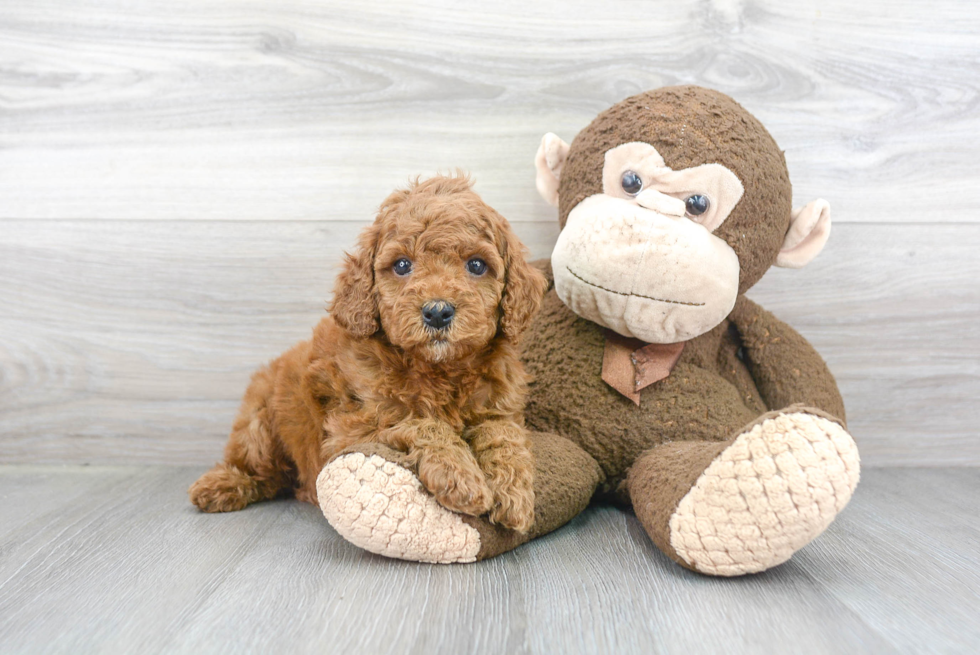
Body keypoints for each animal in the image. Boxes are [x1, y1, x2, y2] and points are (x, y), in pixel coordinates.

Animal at [188, 174, 548, 532]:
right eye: (402, 265)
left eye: (476, 265)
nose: (437, 312)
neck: (438, 370)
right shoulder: (353, 429)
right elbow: (421, 423)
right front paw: (460, 478)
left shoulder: (498, 408)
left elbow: (503, 435)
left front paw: (514, 495)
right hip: (258, 423)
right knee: (258, 469)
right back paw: (220, 486)